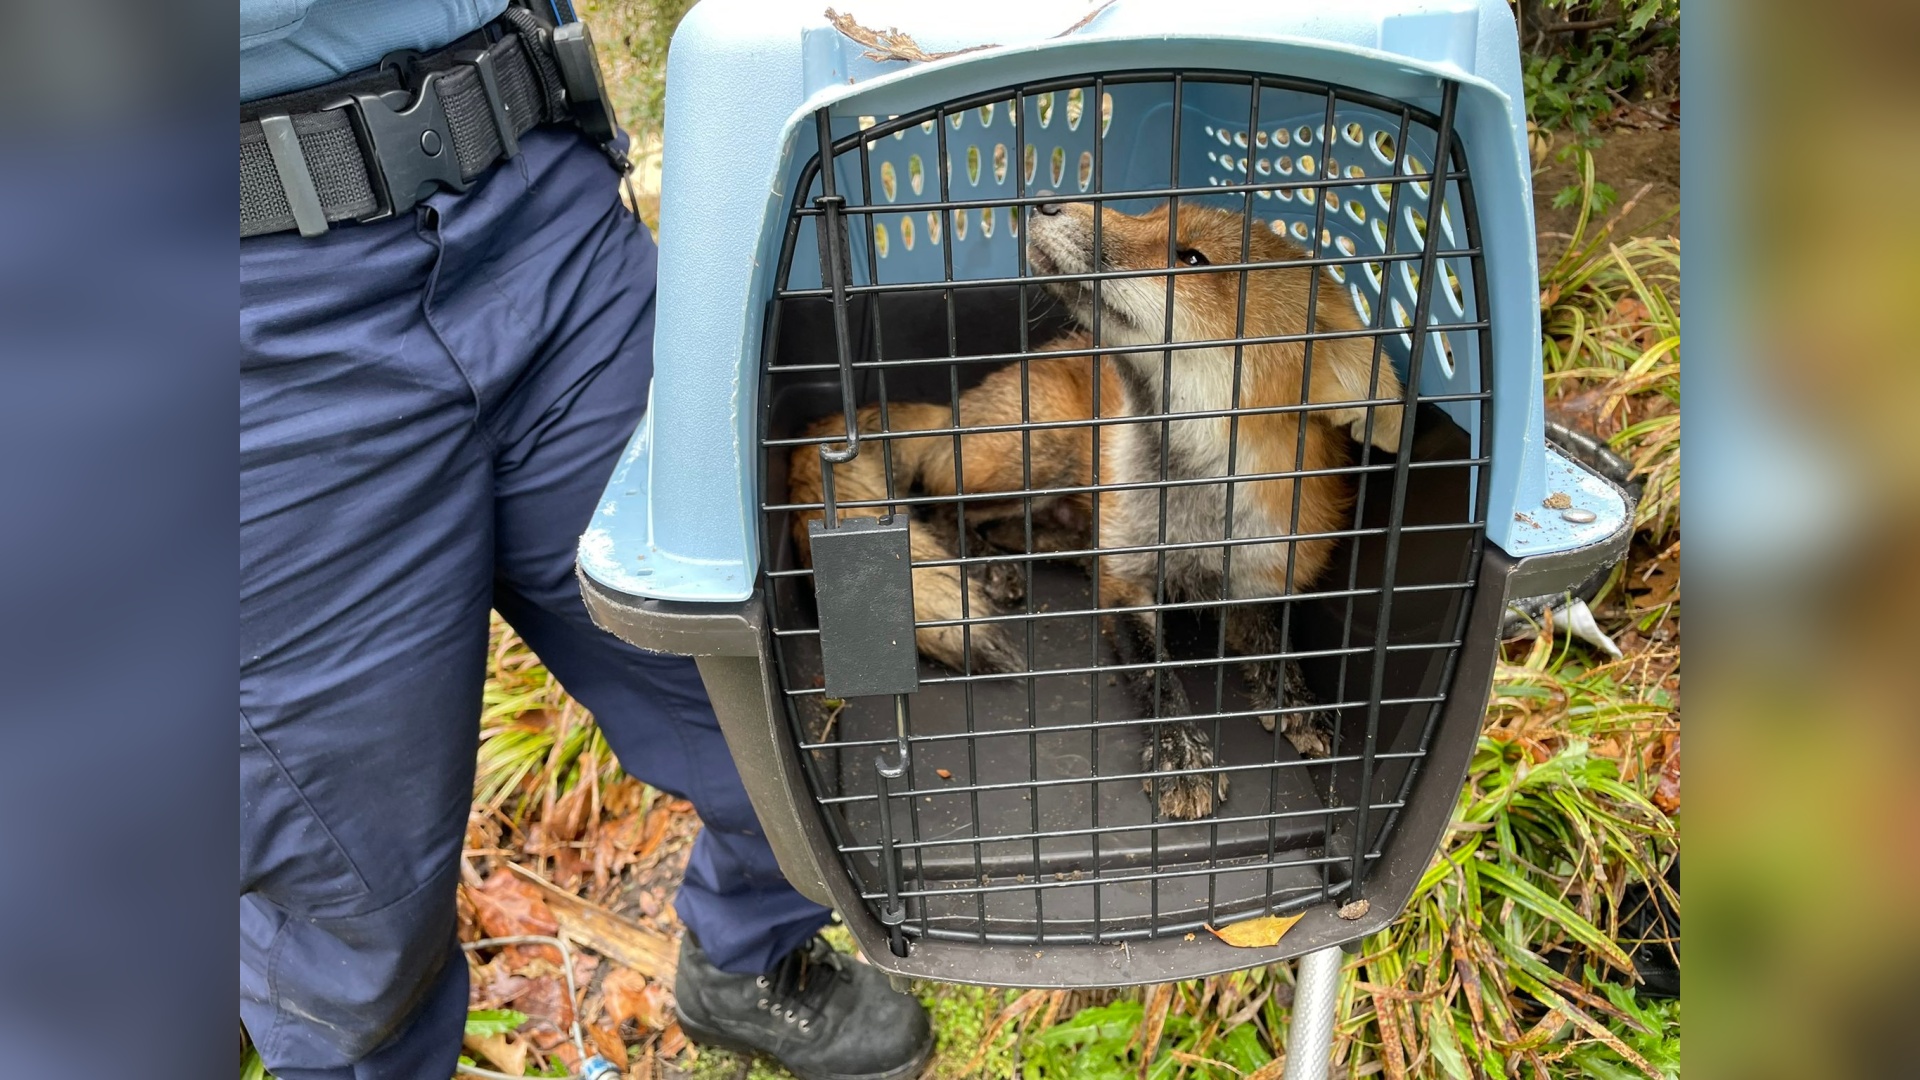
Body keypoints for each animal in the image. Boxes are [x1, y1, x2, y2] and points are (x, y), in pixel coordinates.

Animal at [787, 197, 1404, 820]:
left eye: (1193, 258)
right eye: (1151, 212)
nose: (1045, 201)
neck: (1193, 513)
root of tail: (955, 408)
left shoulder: (1261, 574)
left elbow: (1278, 643)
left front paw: (1298, 700)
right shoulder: (1126, 583)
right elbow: (1158, 673)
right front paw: (1181, 753)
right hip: (1040, 451)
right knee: (939, 505)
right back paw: (991, 567)